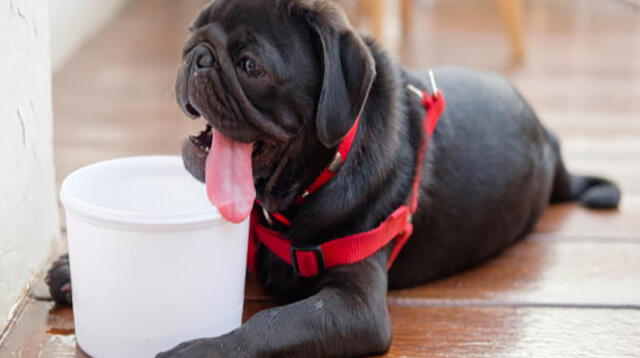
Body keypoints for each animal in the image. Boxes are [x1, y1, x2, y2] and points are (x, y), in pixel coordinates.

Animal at [48, 0, 620, 358]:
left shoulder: (353, 306)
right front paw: (75, 272)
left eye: (251, 65)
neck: (303, 188)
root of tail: (551, 143)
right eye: (192, 35)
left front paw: (200, 349)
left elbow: (267, 325)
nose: (198, 57)